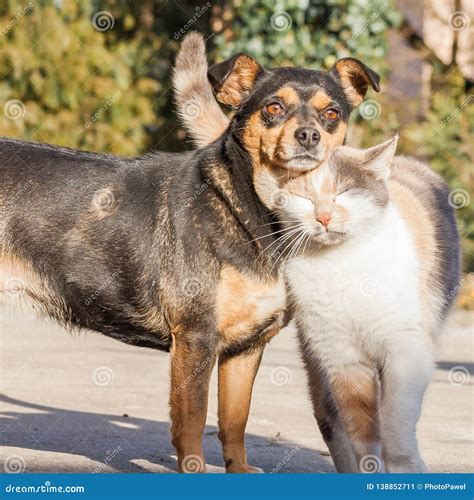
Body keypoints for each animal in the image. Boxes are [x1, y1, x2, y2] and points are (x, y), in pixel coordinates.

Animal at [0, 32, 378, 472]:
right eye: (273, 107)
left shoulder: (246, 348)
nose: (309, 135)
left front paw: (239, 469)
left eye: (331, 113)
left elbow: (235, 419)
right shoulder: (196, 337)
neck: (255, 210)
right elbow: (193, 421)